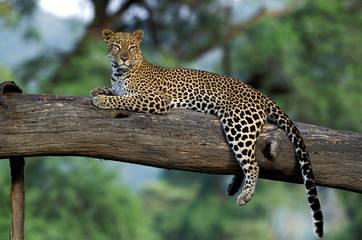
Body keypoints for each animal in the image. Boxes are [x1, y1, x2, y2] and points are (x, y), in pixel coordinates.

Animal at [89, 29, 324, 237]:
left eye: (132, 47)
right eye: (117, 46)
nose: (124, 58)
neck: (120, 73)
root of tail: (260, 94)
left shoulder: (156, 100)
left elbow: (125, 99)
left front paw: (102, 99)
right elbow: (115, 92)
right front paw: (98, 90)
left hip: (237, 124)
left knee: (253, 163)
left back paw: (245, 195)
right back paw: (232, 187)